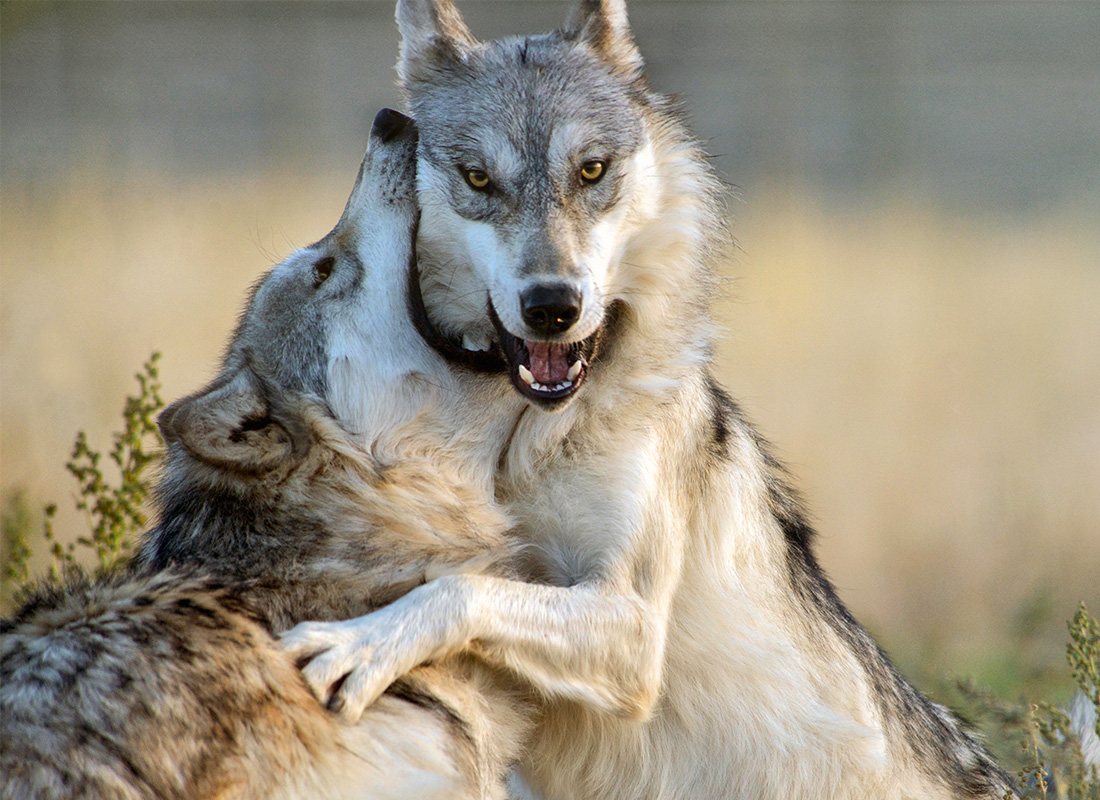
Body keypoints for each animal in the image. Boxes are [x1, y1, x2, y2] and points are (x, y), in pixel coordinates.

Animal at [280, 2, 1018, 798]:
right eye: (479, 179)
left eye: (591, 170)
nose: (553, 306)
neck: (519, 434)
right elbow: (462, 581)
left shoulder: (632, 629)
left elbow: (460, 590)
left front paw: (361, 642)